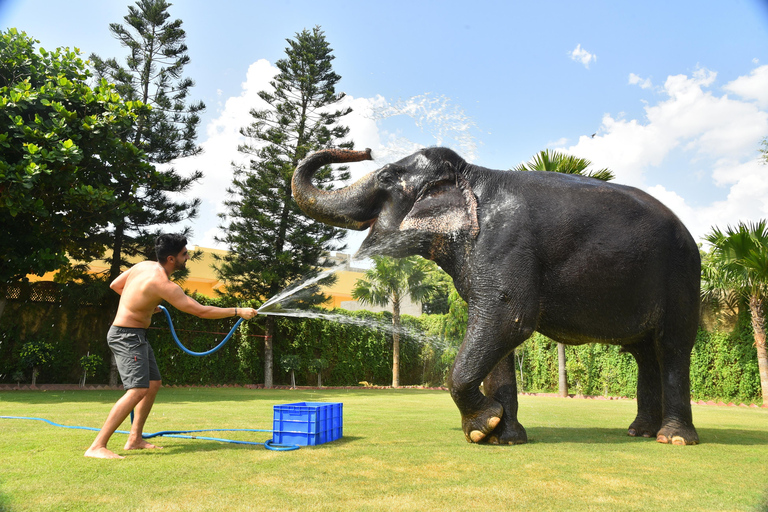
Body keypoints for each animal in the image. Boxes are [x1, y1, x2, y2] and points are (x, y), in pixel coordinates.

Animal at [292, 146, 700, 446]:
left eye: (386, 176)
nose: (364, 150)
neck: (471, 175)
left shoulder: (506, 243)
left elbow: (508, 320)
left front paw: (481, 427)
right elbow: (498, 336)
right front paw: (503, 436)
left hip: (681, 276)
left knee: (673, 346)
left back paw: (674, 439)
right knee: (645, 353)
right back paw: (639, 432)